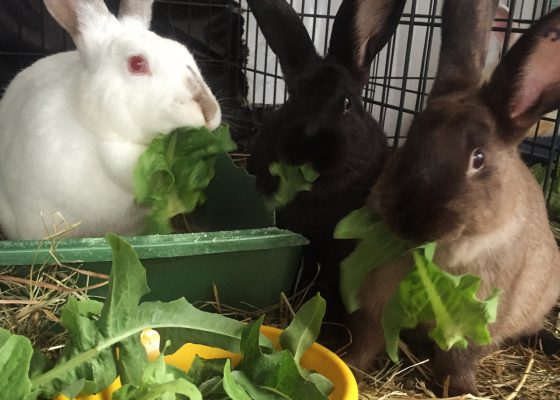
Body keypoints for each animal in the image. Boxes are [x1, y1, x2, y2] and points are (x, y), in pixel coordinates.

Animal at [346, 0, 560, 394]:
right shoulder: (375, 305)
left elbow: (458, 360)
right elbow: (366, 342)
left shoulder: (476, 322)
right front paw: (350, 368)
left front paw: (462, 392)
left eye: (479, 158)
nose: (408, 220)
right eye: (410, 138)